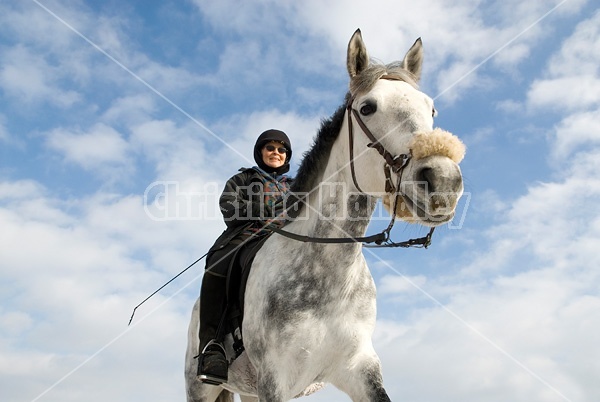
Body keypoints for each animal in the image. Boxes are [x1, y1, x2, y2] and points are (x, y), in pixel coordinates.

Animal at [185, 29, 466, 402]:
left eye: (430, 108)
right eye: (367, 107)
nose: (443, 181)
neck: (329, 274)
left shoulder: (359, 368)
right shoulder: (275, 378)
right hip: (202, 386)